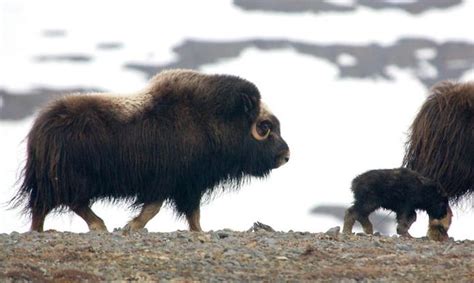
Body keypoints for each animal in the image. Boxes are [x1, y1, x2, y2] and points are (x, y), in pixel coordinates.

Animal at [12, 69, 288, 233]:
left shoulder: (184, 185)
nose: (286, 156)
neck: (212, 121)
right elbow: (159, 209)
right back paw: (96, 225)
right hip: (71, 180)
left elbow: (191, 215)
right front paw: (132, 226)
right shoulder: (174, 181)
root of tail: (42, 126)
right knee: (68, 203)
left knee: (47, 207)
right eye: (265, 127)